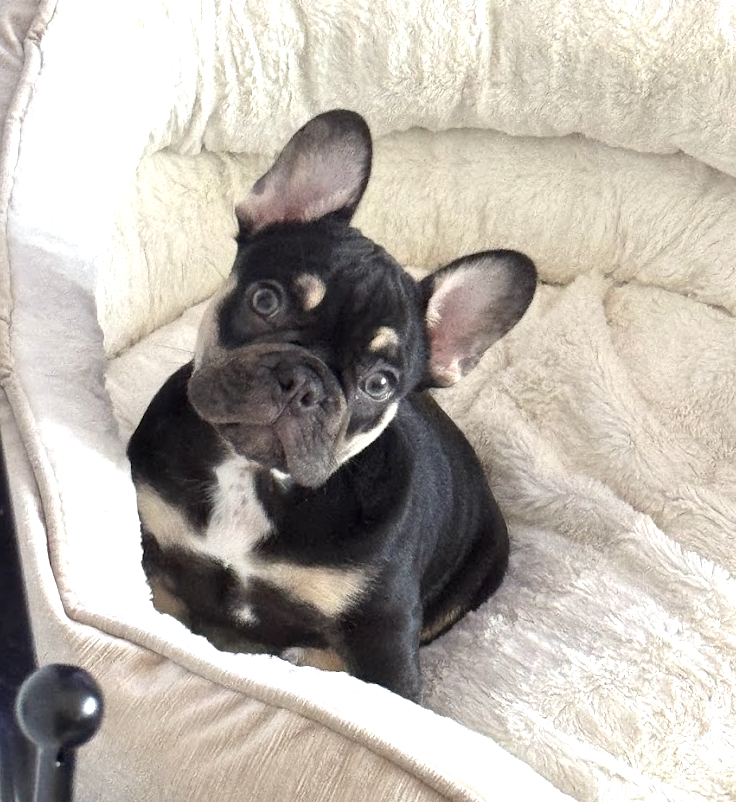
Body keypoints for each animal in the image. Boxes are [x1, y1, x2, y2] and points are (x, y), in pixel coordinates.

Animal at [127, 110, 536, 701]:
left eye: (379, 383)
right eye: (266, 300)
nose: (303, 382)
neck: (254, 479)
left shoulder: (385, 641)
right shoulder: (155, 553)